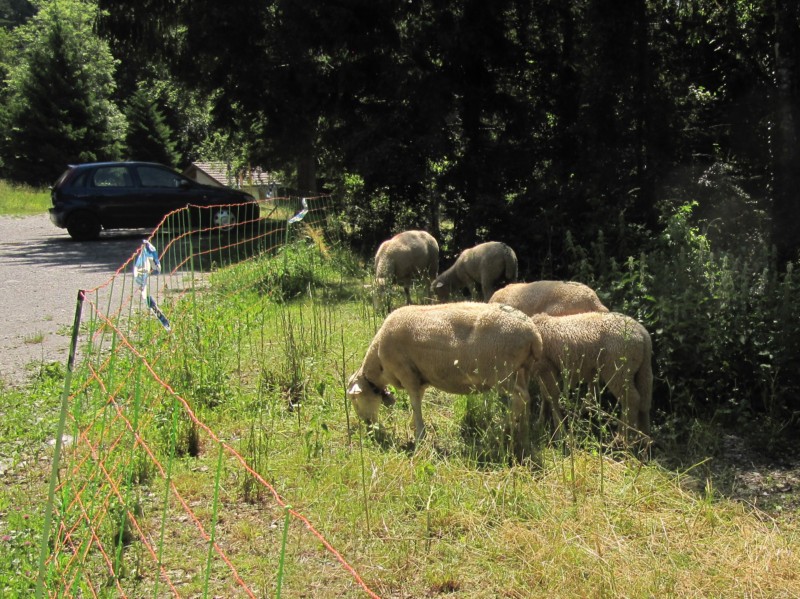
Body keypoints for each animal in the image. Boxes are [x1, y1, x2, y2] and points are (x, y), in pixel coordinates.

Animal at [346, 302, 544, 458]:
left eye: (355, 399)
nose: (366, 424)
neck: (379, 365)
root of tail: (534, 335)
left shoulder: (408, 375)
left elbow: (415, 405)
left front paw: (419, 437)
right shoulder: (420, 379)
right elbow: (417, 403)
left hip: (501, 373)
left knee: (521, 398)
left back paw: (498, 430)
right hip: (522, 370)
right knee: (525, 401)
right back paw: (522, 431)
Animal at [532, 314, 648, 446]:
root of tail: (642, 332)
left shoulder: (546, 366)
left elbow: (552, 397)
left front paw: (559, 433)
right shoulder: (543, 371)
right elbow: (546, 396)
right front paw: (541, 424)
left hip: (618, 369)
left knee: (632, 400)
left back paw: (622, 438)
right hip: (641, 371)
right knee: (644, 402)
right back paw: (643, 439)